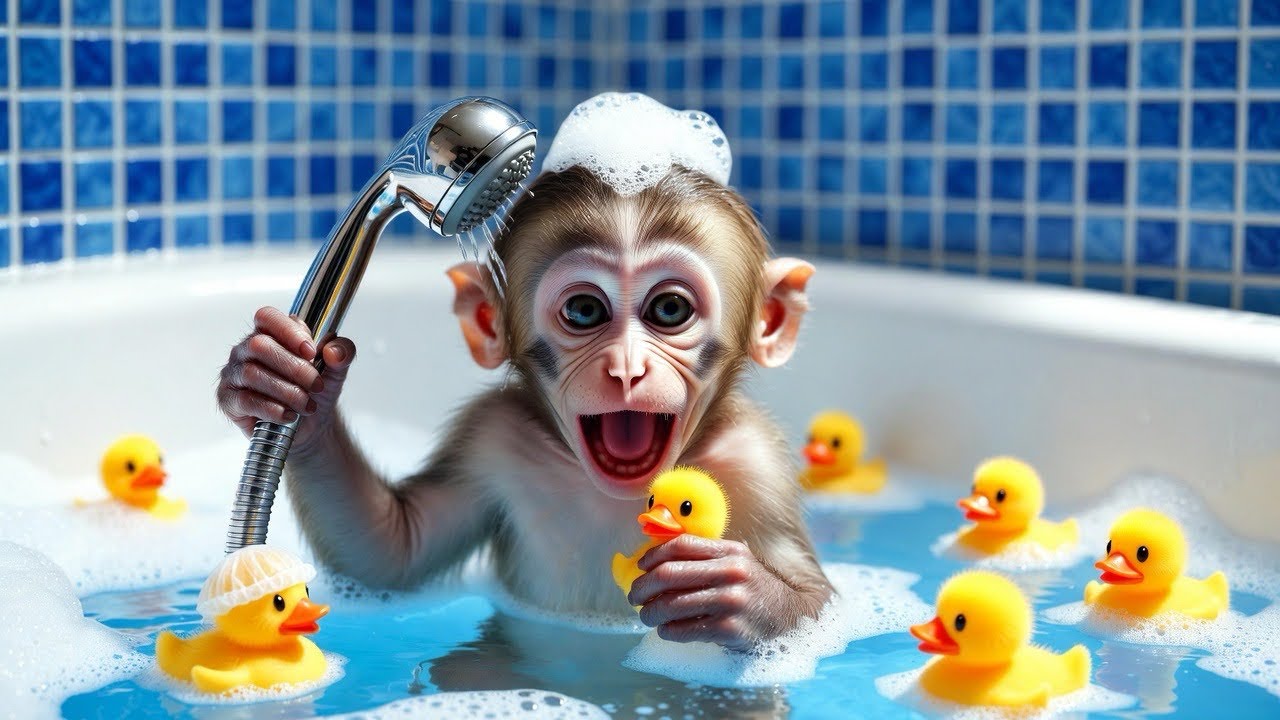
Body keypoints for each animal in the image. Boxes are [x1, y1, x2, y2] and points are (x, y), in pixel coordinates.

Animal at [216, 164, 831, 650]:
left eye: (670, 309)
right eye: (584, 310)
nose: (627, 368)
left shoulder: (758, 464)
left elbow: (817, 598)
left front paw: (741, 593)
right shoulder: (488, 435)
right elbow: (395, 548)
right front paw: (284, 384)